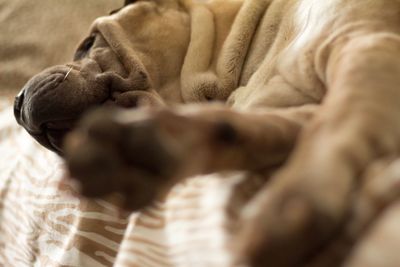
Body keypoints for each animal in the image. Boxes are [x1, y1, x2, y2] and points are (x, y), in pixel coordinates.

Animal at [14, 0, 400, 266]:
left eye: (88, 43)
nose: (16, 105)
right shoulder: (296, 107)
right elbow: (252, 130)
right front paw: (154, 146)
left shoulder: (365, 48)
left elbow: (331, 134)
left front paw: (292, 205)